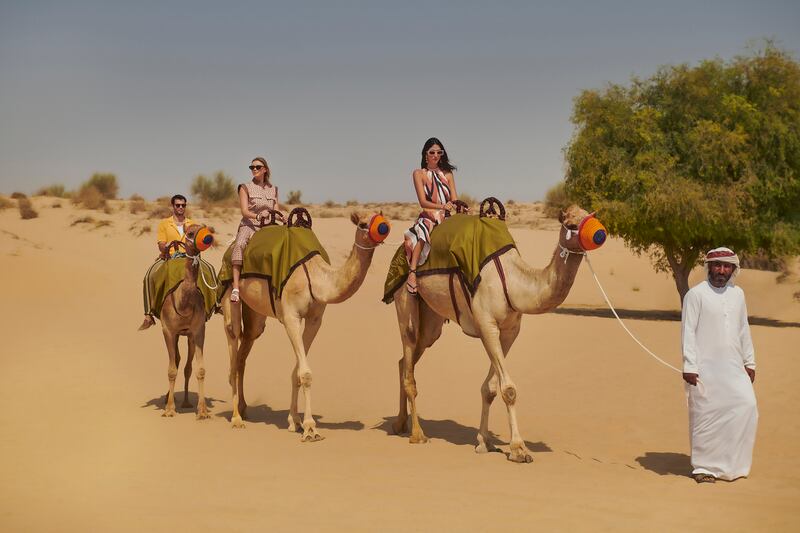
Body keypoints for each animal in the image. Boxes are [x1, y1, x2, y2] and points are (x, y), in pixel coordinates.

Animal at [139, 222, 212, 418]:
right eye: (190, 232)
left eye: (206, 227)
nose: (208, 237)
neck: (182, 302)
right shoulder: (168, 331)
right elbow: (171, 370)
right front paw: (169, 409)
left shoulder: (198, 330)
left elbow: (200, 369)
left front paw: (202, 411)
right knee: (176, 361)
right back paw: (168, 399)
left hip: (187, 335)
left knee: (185, 366)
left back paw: (186, 401)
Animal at [219, 212, 382, 440]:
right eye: (363, 223)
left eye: (381, 217)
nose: (384, 227)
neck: (315, 276)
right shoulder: (291, 317)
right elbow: (305, 373)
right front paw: (310, 428)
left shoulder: (315, 319)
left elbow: (297, 371)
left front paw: (294, 421)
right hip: (229, 295)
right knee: (233, 341)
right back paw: (236, 418)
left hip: (255, 312)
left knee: (246, 346)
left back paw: (243, 408)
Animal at [390, 204, 604, 462]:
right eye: (571, 224)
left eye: (590, 216)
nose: (600, 234)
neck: (513, 283)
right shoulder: (486, 324)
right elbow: (509, 389)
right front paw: (518, 449)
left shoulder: (510, 331)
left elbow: (490, 389)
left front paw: (484, 442)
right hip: (405, 300)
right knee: (409, 355)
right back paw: (417, 433)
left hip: (431, 319)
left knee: (405, 361)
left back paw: (399, 424)